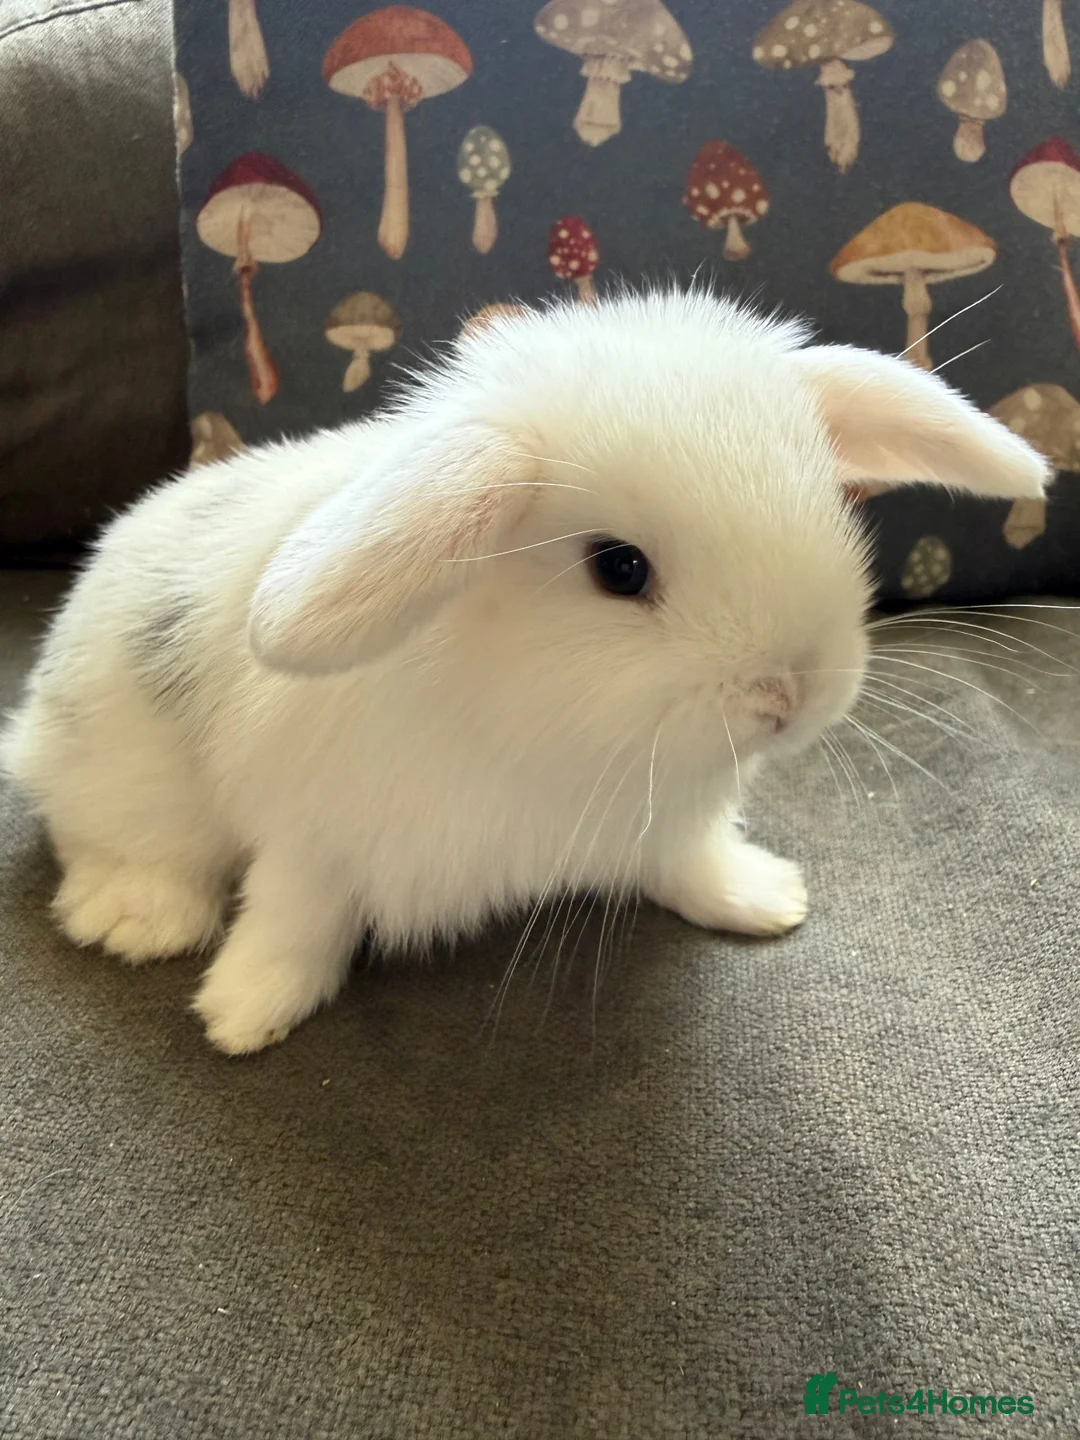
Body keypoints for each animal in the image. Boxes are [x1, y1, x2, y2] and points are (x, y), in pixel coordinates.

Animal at [2, 289, 1048, 1055]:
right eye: (618, 568)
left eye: (831, 509)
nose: (789, 695)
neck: (552, 733)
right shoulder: (313, 842)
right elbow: (293, 923)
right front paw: (244, 1014)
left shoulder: (670, 824)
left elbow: (693, 865)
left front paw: (763, 900)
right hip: (122, 775)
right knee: (105, 840)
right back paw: (138, 919)